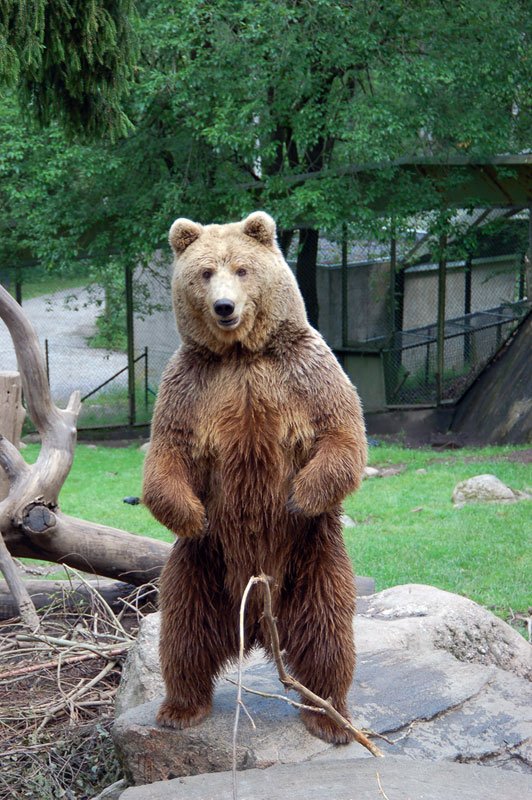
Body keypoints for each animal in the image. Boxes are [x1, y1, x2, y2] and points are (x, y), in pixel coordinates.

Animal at [142, 211, 367, 744]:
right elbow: (166, 456)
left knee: (328, 633)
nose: (224, 307)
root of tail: (260, 627)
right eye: (205, 272)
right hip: (200, 567)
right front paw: (194, 514)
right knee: (181, 630)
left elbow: (342, 435)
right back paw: (180, 707)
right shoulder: (190, 386)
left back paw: (330, 716)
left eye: (242, 269)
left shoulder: (305, 372)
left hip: (315, 558)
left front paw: (298, 498)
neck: (241, 354)